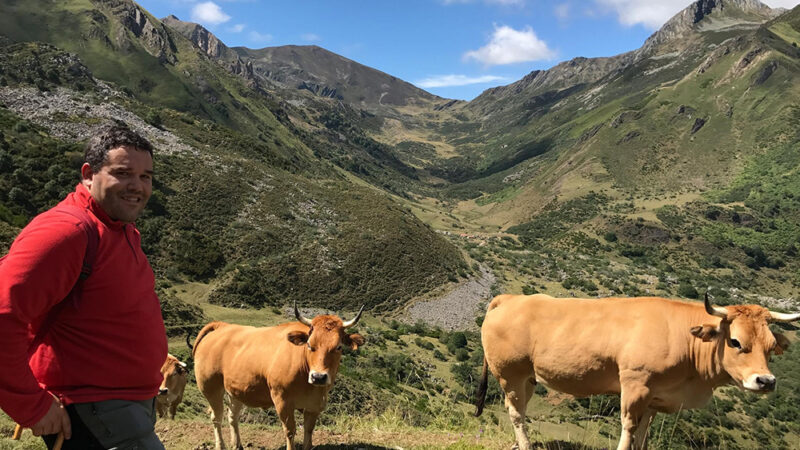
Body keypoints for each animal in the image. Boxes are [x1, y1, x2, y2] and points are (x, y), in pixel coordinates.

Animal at [192, 304, 368, 448]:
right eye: (309, 345)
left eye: (338, 347)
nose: (318, 377)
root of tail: (222, 326)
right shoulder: (282, 400)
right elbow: (290, 431)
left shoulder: (315, 404)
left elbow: (309, 433)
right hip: (210, 387)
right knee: (216, 417)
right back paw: (220, 445)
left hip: (235, 390)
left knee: (232, 416)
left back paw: (237, 445)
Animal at [472, 294, 796, 450]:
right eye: (735, 341)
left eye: (771, 346)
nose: (766, 381)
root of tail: (512, 297)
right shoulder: (635, 385)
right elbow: (629, 430)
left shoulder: (655, 397)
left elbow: (643, 435)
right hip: (510, 373)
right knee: (515, 412)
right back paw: (525, 445)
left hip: (528, 377)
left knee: (521, 410)